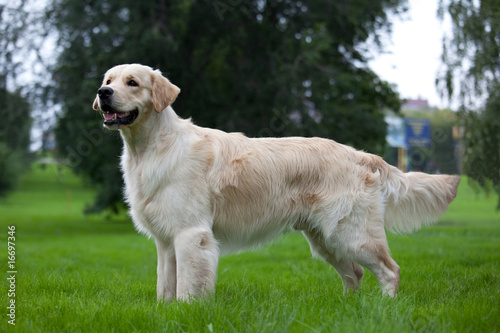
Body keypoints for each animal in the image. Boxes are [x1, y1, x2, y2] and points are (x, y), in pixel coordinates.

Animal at [92, 63, 458, 300]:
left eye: (132, 82)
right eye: (109, 79)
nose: (103, 92)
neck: (150, 148)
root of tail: (360, 155)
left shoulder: (191, 234)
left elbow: (186, 287)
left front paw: (187, 311)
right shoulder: (166, 241)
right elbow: (164, 287)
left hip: (351, 233)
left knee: (389, 269)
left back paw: (385, 308)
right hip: (325, 238)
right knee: (355, 274)